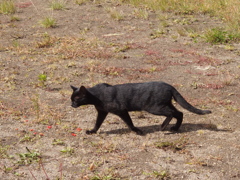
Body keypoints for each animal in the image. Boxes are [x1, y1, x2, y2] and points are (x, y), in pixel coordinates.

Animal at [70, 81, 211, 135]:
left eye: (76, 99)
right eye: (71, 99)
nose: (71, 105)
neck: (96, 96)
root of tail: (169, 85)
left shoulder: (121, 110)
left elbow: (130, 123)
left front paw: (138, 131)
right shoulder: (102, 112)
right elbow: (97, 123)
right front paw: (92, 131)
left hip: (154, 107)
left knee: (171, 113)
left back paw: (163, 127)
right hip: (164, 105)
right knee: (180, 113)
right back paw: (175, 128)